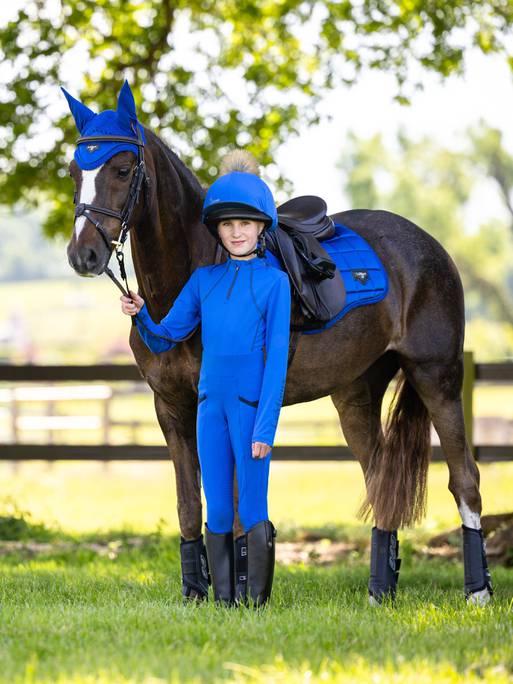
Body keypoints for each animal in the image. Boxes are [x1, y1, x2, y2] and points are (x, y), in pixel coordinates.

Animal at [65, 93, 492, 608]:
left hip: (437, 376)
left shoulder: (232, 407)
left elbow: (233, 506)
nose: (83, 254)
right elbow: (190, 504)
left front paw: (238, 595)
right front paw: (196, 594)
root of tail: (429, 247)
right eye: (74, 170)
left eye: (124, 168)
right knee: (380, 481)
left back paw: (478, 593)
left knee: (464, 478)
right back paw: (379, 593)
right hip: (355, 394)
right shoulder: (170, 407)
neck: (195, 276)